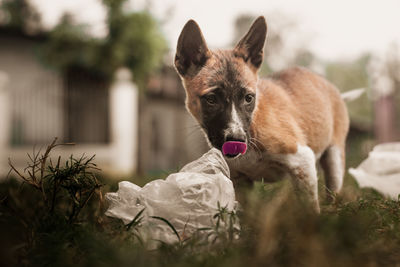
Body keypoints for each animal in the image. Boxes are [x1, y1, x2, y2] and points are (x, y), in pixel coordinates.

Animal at [173, 16, 348, 214]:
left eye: (249, 98)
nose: (237, 140)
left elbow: (309, 208)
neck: (252, 127)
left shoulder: (303, 160)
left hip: (334, 161)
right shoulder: (240, 180)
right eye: (211, 99)